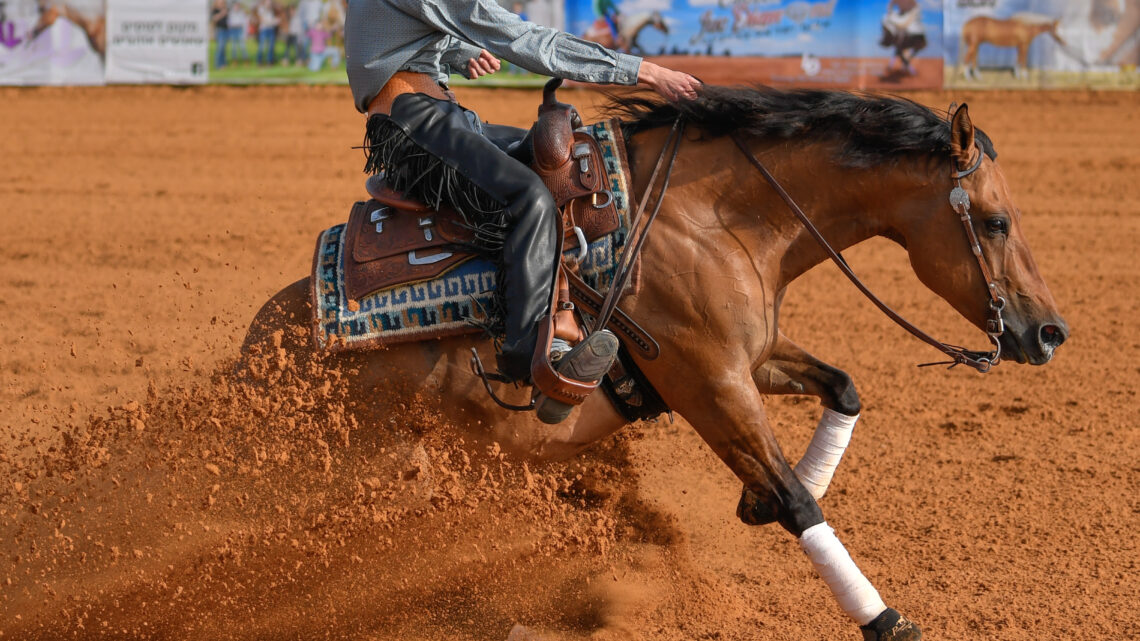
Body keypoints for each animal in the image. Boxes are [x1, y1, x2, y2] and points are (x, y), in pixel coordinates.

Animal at [242, 86, 1067, 638]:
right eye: (996, 221)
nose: (1050, 331)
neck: (715, 218)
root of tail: (260, 346)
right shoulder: (708, 381)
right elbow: (800, 503)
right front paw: (883, 617)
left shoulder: (751, 358)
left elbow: (845, 388)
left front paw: (759, 498)